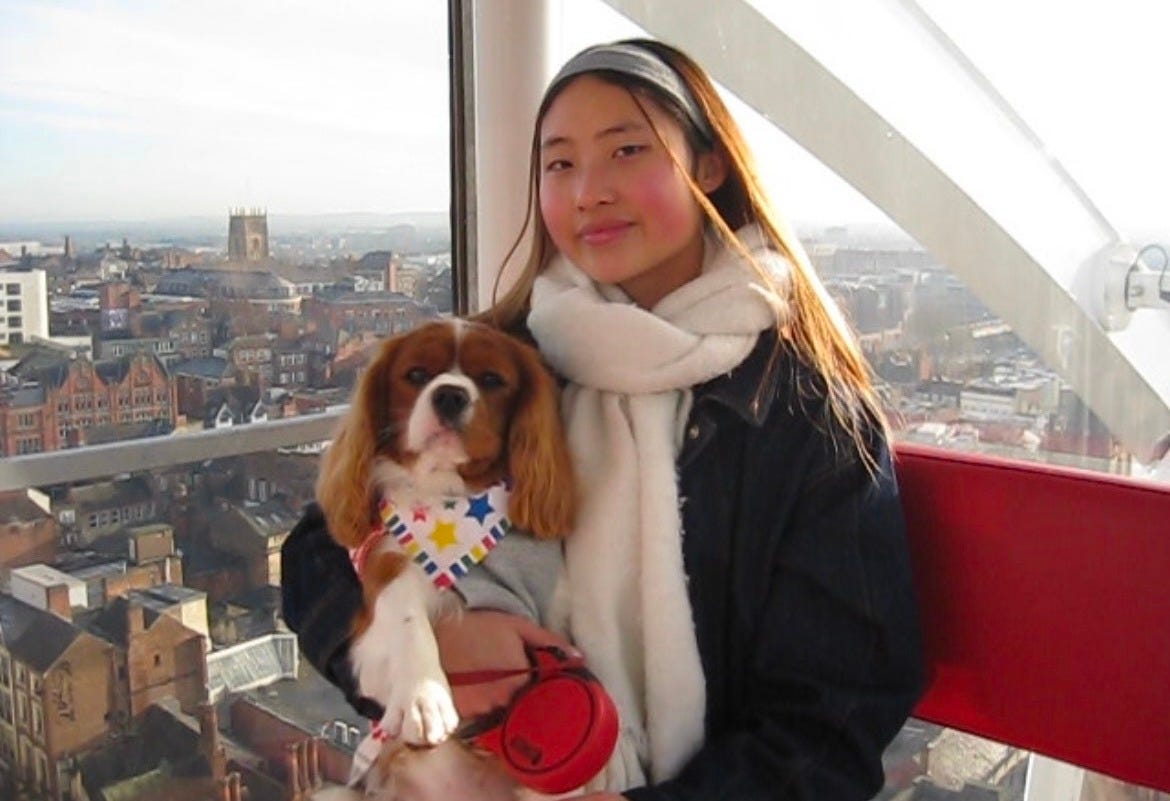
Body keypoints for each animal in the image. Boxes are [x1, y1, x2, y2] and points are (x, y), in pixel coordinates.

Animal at [313, 319, 578, 799]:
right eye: (416, 375)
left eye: (491, 379)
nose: (450, 394)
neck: (452, 495)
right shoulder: (388, 565)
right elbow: (405, 616)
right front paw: (424, 697)